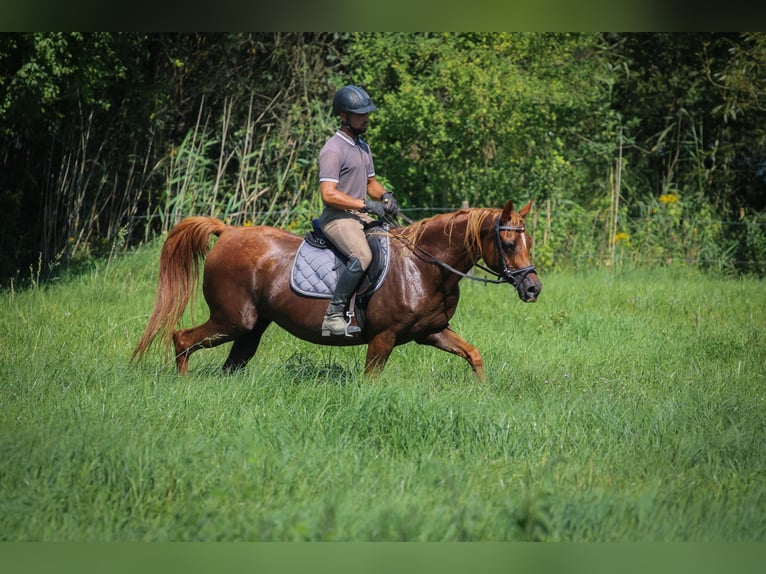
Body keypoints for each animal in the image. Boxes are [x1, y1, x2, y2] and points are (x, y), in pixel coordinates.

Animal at [130, 198, 540, 378]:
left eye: (529, 241)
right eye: (508, 244)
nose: (533, 288)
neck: (424, 266)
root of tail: (228, 232)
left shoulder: (433, 331)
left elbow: (473, 355)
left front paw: (482, 392)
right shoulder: (383, 338)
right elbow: (371, 382)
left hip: (251, 328)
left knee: (231, 363)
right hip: (233, 320)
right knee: (182, 338)